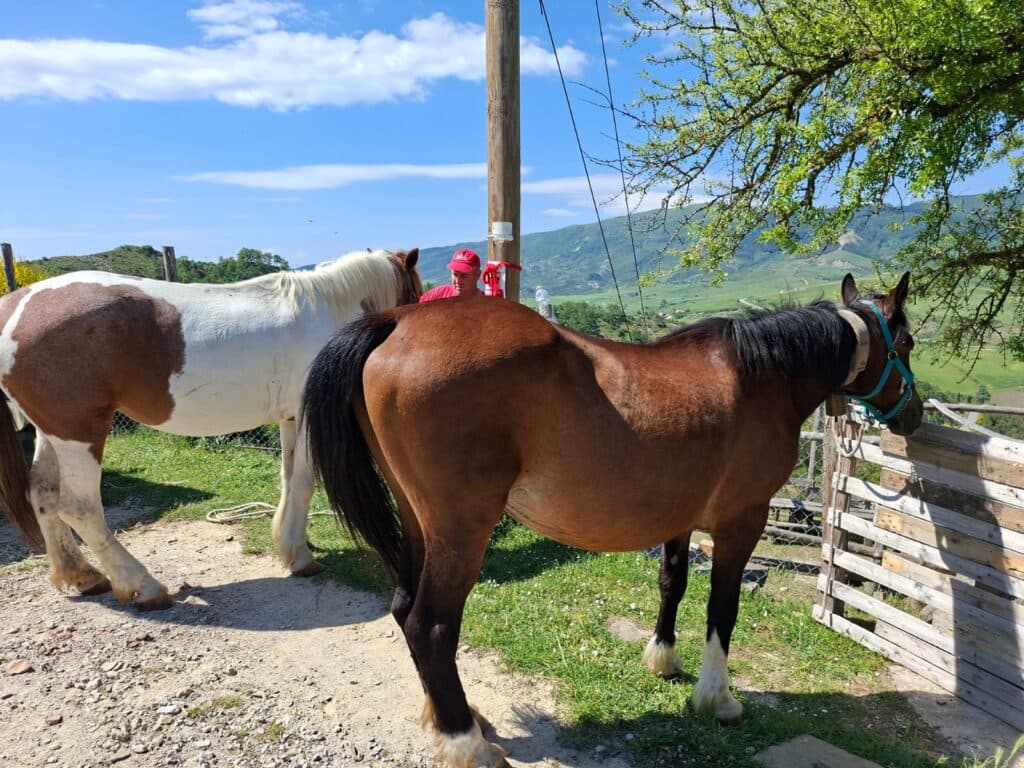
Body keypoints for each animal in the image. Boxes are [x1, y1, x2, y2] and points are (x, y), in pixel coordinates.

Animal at [0, 247, 421, 609]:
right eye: (415, 292)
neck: (327, 309)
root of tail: (16, 307)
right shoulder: (305, 418)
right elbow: (303, 484)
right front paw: (300, 557)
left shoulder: (289, 418)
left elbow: (288, 481)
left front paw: (290, 545)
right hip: (80, 432)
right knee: (80, 508)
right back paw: (142, 585)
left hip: (53, 431)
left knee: (43, 494)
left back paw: (81, 576)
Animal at [300, 271, 922, 767]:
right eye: (909, 342)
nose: (913, 415)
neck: (762, 377)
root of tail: (396, 322)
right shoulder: (740, 522)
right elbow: (722, 608)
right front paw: (716, 697)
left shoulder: (680, 517)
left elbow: (673, 582)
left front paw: (663, 659)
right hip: (461, 530)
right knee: (429, 625)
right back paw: (465, 742)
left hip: (418, 522)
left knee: (405, 607)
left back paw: (448, 716)